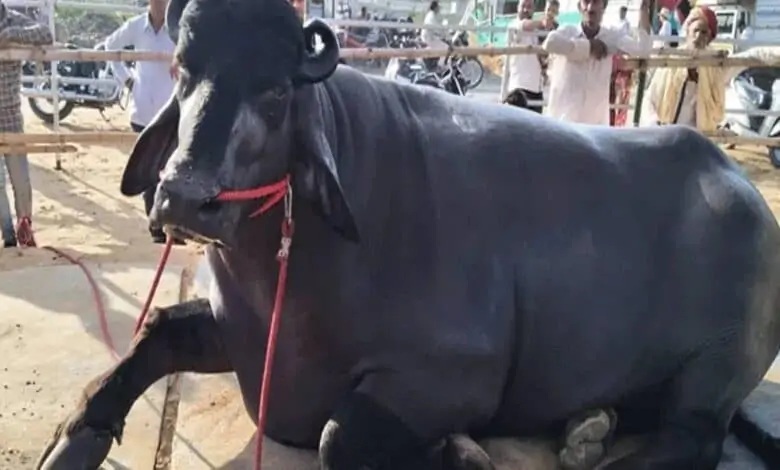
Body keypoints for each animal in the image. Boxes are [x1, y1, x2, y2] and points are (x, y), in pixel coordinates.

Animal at [36, 0, 780, 468]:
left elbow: (337, 437)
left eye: (275, 93)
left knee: (694, 439)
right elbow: (151, 338)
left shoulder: (453, 373)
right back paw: (587, 429)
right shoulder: (235, 332)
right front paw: (72, 440)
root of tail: (736, 183)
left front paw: (463, 451)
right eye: (184, 74)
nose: (185, 197)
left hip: (714, 368)